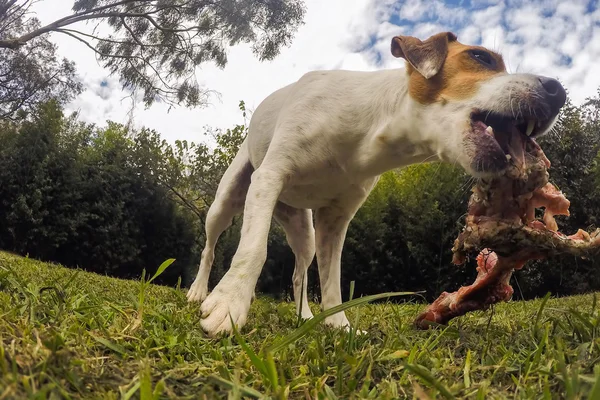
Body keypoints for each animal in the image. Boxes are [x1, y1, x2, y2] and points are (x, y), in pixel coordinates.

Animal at [188, 32, 568, 338]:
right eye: (481, 57)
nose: (559, 90)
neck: (369, 132)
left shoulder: (335, 219)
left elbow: (332, 278)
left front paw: (338, 326)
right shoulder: (271, 177)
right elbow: (253, 249)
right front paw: (229, 305)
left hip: (303, 229)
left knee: (300, 273)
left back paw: (303, 315)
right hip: (229, 199)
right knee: (210, 246)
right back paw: (198, 291)